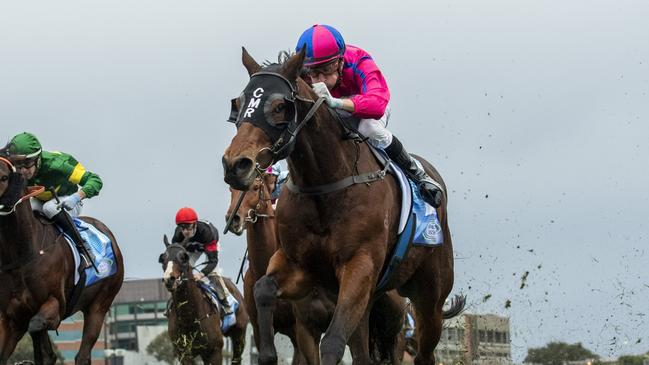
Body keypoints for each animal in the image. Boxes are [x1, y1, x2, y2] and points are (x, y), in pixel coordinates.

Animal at [0, 156, 124, 364]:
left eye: (3, 177)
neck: (23, 255)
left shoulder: (55, 305)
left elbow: (37, 328)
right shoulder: (11, 318)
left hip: (99, 306)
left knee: (82, 355)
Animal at [158, 236, 247, 364]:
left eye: (184, 258)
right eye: (163, 258)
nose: (169, 279)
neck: (189, 318)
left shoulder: (215, 350)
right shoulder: (184, 353)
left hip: (239, 335)